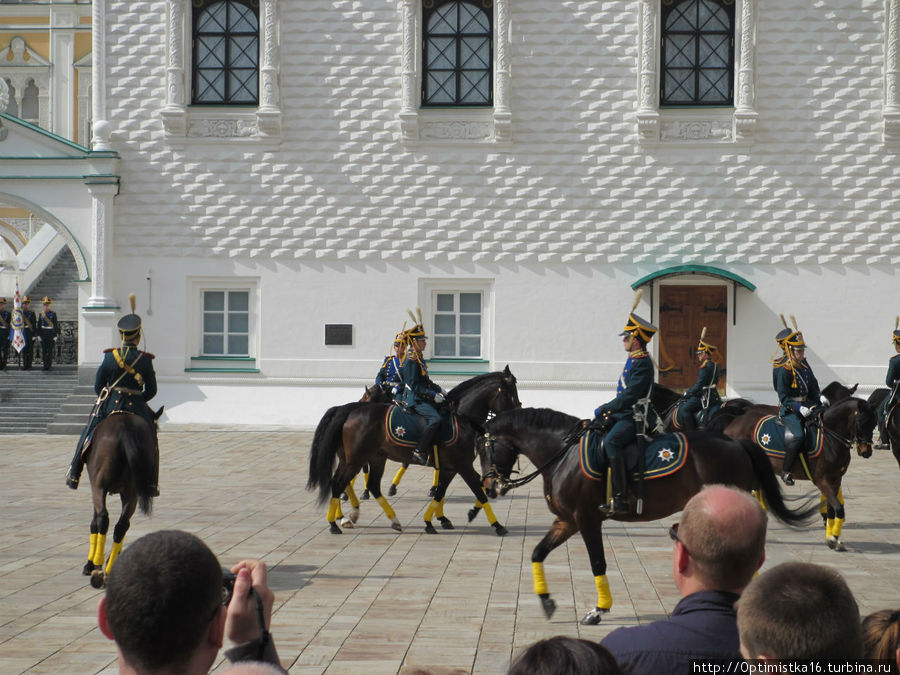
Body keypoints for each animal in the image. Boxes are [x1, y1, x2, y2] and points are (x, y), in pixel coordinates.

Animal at [81, 410, 161, 588]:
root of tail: (125, 429)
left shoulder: (95, 487)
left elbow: (94, 523)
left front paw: (89, 564)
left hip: (99, 487)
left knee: (103, 518)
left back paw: (98, 567)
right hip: (131, 492)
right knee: (122, 525)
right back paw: (108, 569)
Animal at [310, 370, 520, 532]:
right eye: (511, 393)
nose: (519, 411)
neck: (462, 417)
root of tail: (349, 410)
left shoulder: (450, 468)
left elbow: (440, 492)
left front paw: (436, 520)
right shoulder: (463, 466)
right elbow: (478, 491)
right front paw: (497, 525)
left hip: (369, 458)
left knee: (367, 485)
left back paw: (381, 519)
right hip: (356, 458)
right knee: (339, 483)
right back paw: (336, 522)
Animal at [482, 406, 820, 628]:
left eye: (485, 450)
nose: (489, 486)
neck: (562, 454)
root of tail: (736, 441)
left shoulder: (586, 519)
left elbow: (597, 563)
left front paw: (598, 610)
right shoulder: (566, 521)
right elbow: (538, 553)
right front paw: (547, 601)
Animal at [712, 398, 872, 552]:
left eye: (874, 422)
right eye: (860, 422)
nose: (866, 452)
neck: (830, 437)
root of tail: (735, 420)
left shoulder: (836, 480)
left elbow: (833, 509)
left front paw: (833, 539)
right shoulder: (822, 480)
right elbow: (838, 507)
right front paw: (833, 538)